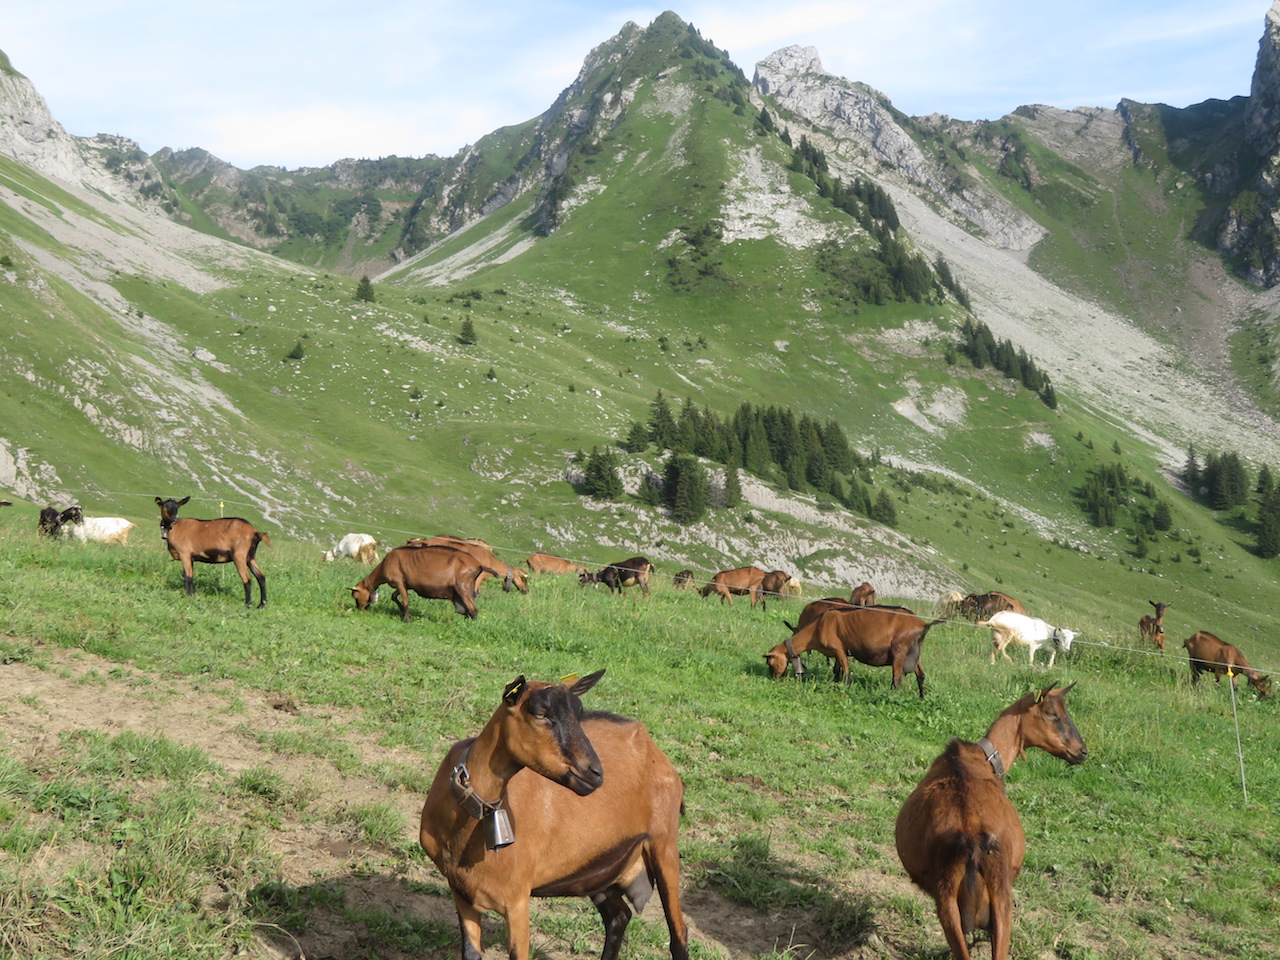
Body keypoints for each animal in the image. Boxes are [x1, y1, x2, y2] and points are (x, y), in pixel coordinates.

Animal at [353, 545, 496, 619]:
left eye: (355, 596)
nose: (359, 609)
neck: (385, 564)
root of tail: (479, 565)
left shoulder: (399, 581)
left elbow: (405, 600)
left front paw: (407, 618)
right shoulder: (405, 584)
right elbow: (394, 596)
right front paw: (403, 611)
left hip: (462, 588)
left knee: (473, 609)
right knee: (468, 609)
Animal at [417, 670, 691, 960]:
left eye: (579, 713)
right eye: (541, 713)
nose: (595, 773)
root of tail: (653, 748)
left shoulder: (516, 900)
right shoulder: (462, 893)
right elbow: (471, 953)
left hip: (663, 844)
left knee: (678, 933)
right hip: (599, 866)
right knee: (619, 916)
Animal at [762, 609, 947, 701]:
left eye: (770, 663)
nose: (773, 679)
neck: (818, 626)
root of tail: (923, 624)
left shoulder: (839, 649)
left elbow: (846, 671)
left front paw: (846, 689)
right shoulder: (839, 652)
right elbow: (836, 671)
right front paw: (835, 684)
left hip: (899, 651)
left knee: (896, 680)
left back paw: (890, 698)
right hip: (914, 653)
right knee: (921, 675)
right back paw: (922, 698)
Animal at [896, 686, 1085, 960]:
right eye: (1052, 713)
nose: (1082, 751)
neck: (983, 757)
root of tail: (972, 839)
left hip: (952, 904)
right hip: (998, 899)